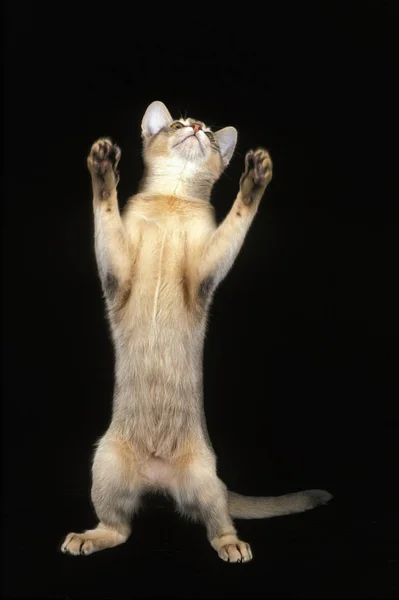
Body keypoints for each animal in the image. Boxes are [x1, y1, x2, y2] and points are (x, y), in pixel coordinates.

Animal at [61, 99, 332, 564]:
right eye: (177, 124)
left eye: (206, 132)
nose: (196, 127)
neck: (172, 200)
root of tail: (157, 478)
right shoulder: (116, 274)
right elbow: (105, 211)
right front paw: (103, 167)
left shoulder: (204, 273)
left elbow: (236, 222)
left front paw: (255, 177)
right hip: (104, 465)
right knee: (119, 527)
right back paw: (86, 537)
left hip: (205, 478)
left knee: (216, 520)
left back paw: (233, 545)